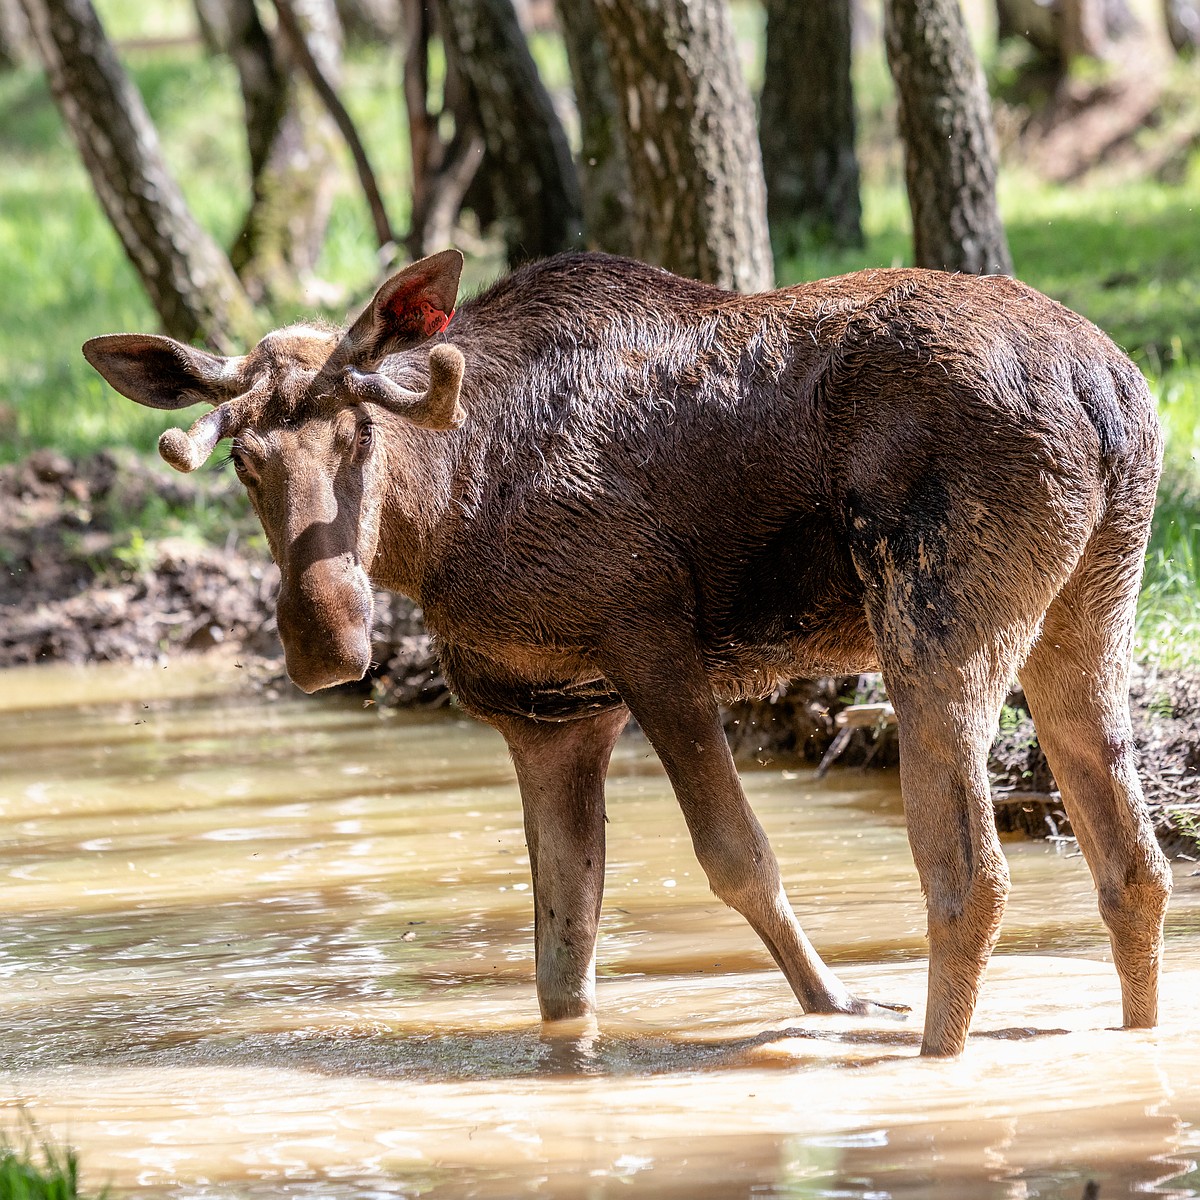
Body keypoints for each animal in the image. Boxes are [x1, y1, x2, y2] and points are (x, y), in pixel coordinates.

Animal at [84, 248, 1171, 1056]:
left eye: (361, 434)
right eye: (242, 460)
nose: (324, 639)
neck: (439, 520)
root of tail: (1107, 393)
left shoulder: (651, 646)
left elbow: (738, 860)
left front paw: (840, 1007)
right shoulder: (548, 712)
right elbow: (562, 954)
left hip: (932, 624)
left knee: (968, 875)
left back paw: (932, 1060)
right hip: (1092, 608)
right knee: (1135, 868)